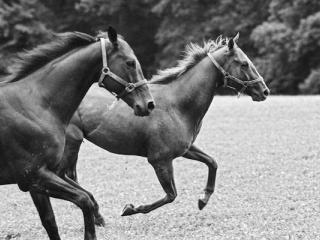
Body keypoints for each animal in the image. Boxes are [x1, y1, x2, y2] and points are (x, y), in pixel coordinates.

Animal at [0, 26, 155, 240]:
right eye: (130, 62)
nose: (148, 104)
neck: (36, 105)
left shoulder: (40, 180)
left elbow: (52, 220)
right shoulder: (35, 176)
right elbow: (84, 200)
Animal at [35, 33, 270, 225]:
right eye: (244, 64)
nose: (264, 91)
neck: (179, 104)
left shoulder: (184, 150)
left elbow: (212, 162)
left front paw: (203, 199)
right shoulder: (160, 159)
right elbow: (171, 195)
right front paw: (130, 209)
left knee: (69, 176)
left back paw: (96, 214)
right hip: (72, 143)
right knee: (63, 176)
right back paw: (95, 211)